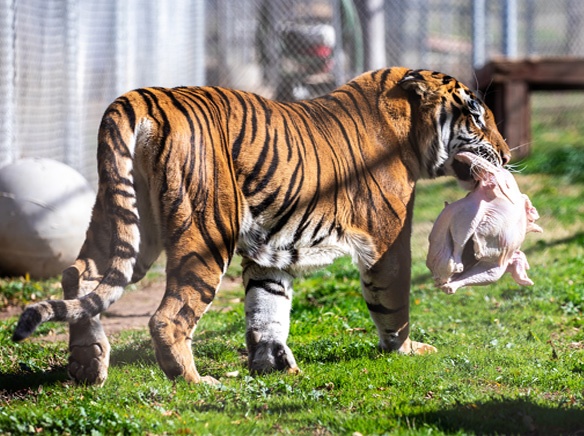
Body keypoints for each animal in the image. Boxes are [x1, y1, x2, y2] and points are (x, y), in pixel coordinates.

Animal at [11, 67, 508, 384]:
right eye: (476, 116)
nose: (505, 154)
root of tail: (141, 97)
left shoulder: (271, 250)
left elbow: (267, 308)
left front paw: (272, 364)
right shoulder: (388, 242)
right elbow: (393, 304)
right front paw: (405, 350)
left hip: (127, 222)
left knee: (80, 274)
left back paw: (88, 364)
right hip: (205, 233)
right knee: (168, 316)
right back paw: (193, 381)